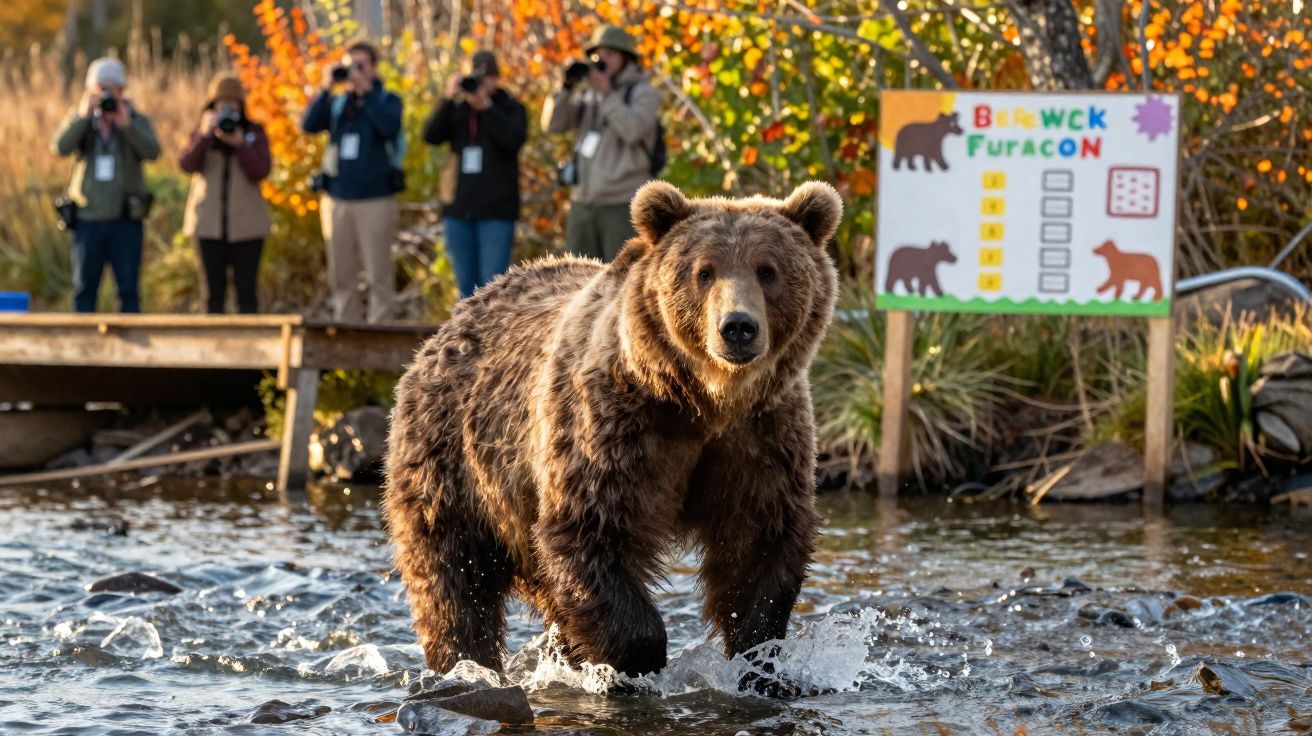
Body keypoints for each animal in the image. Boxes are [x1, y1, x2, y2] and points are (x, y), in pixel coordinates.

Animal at [383, 181, 842, 687]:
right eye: (704, 271)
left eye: (768, 270)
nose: (738, 327)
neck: (705, 401)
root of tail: (451, 321)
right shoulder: (615, 427)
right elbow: (593, 531)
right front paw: (638, 661)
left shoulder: (760, 437)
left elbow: (759, 543)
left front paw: (763, 663)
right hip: (452, 463)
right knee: (453, 578)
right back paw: (464, 663)